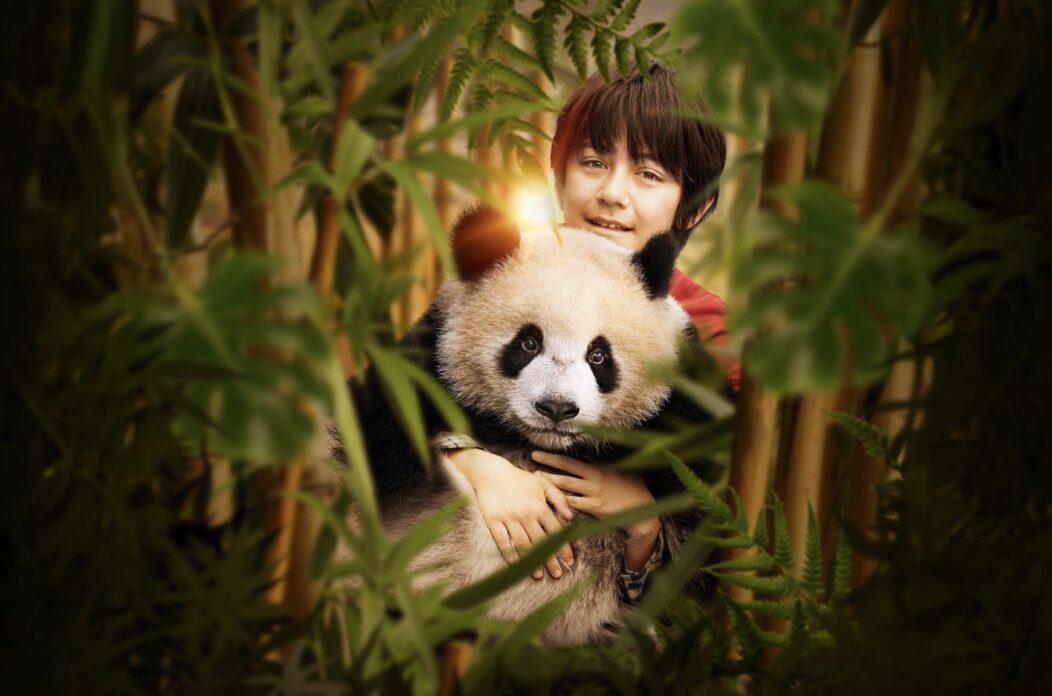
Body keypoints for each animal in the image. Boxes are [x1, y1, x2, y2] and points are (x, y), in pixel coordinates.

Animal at [342, 206, 720, 645]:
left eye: (598, 355)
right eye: (528, 343)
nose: (556, 408)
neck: (541, 447)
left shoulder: (685, 409)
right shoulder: (421, 376)